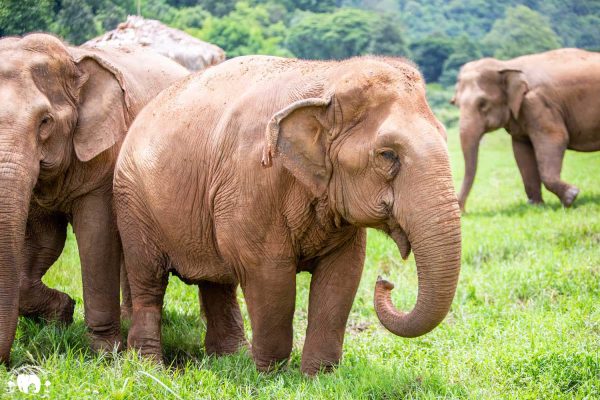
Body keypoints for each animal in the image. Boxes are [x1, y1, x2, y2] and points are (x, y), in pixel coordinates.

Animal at [0, 34, 188, 366]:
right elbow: (45, 239)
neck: (72, 60)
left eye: (45, 121)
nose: (8, 364)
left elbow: (96, 235)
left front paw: (105, 355)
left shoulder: (107, 156)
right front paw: (62, 313)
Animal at [113, 55, 460, 376]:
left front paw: (319, 377)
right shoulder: (251, 182)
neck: (329, 77)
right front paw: (270, 375)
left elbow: (343, 274)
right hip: (132, 201)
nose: (386, 282)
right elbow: (269, 273)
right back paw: (151, 367)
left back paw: (227, 360)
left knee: (217, 283)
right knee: (148, 280)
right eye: (388, 155)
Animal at [452, 48, 600, 211]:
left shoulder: (538, 103)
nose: (463, 211)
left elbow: (556, 139)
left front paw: (571, 197)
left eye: (482, 103)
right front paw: (536, 206)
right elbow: (521, 150)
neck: (507, 65)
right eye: (455, 103)